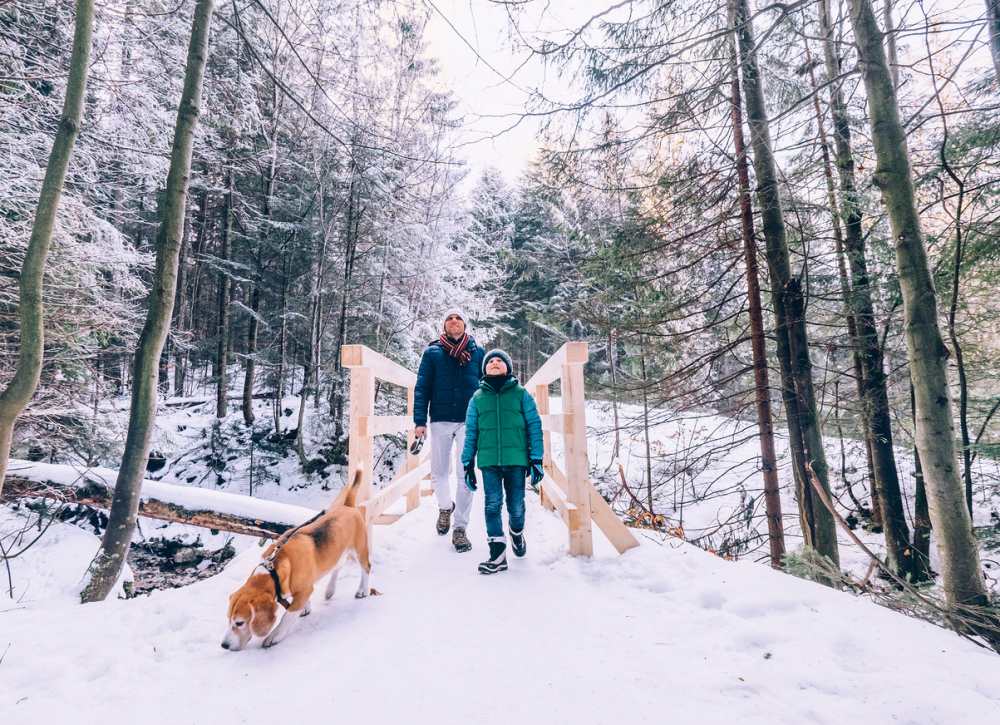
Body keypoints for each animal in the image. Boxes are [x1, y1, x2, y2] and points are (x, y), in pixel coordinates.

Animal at [221, 470, 374, 652]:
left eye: (240, 623)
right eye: (228, 619)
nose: (224, 645)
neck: (274, 570)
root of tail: (348, 506)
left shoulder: (304, 591)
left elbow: (287, 617)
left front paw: (274, 636)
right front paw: (306, 608)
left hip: (360, 549)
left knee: (366, 568)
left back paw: (362, 590)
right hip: (338, 552)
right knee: (337, 567)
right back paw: (330, 590)